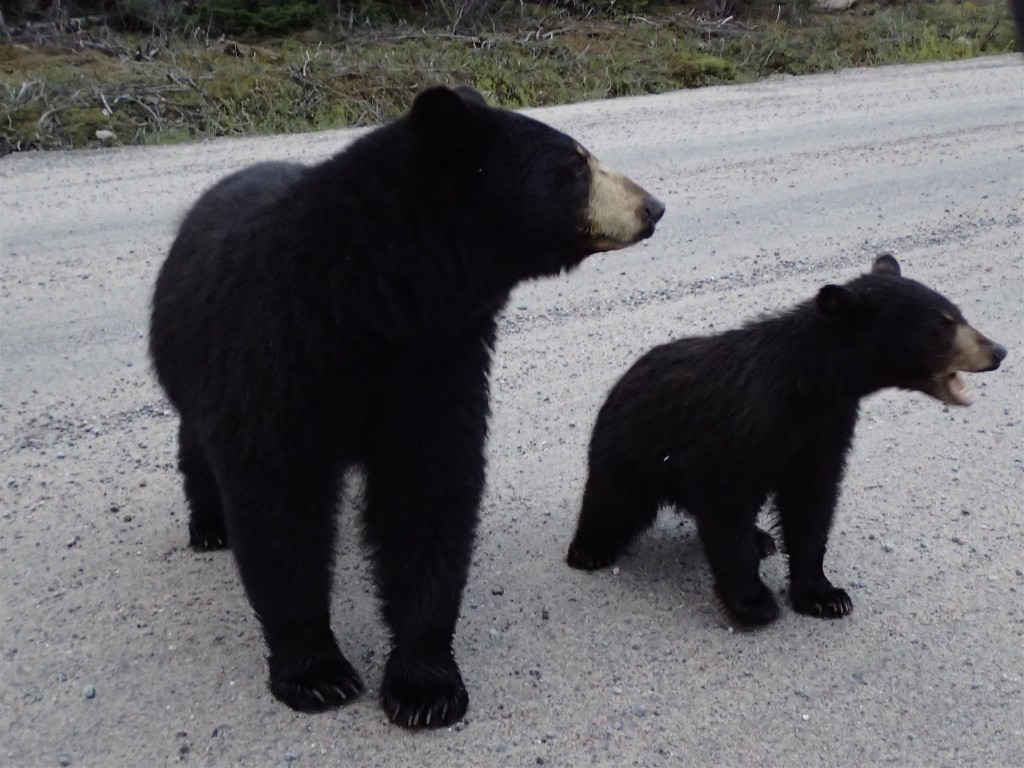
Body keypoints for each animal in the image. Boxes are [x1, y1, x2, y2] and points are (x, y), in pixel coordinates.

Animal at [149, 83, 663, 729]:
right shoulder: (276, 355)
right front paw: (316, 673)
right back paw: (210, 526)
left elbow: (428, 492)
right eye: (574, 166)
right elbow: (277, 501)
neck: (373, 303)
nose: (653, 207)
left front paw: (426, 684)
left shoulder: (437, 363)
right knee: (197, 442)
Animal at [569, 256, 1007, 626]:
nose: (999, 350)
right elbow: (724, 505)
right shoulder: (737, 430)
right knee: (612, 498)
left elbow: (812, 506)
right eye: (942, 326)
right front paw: (753, 602)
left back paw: (761, 538)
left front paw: (824, 595)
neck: (812, 387)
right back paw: (588, 550)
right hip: (631, 447)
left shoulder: (825, 432)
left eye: (958, 315)